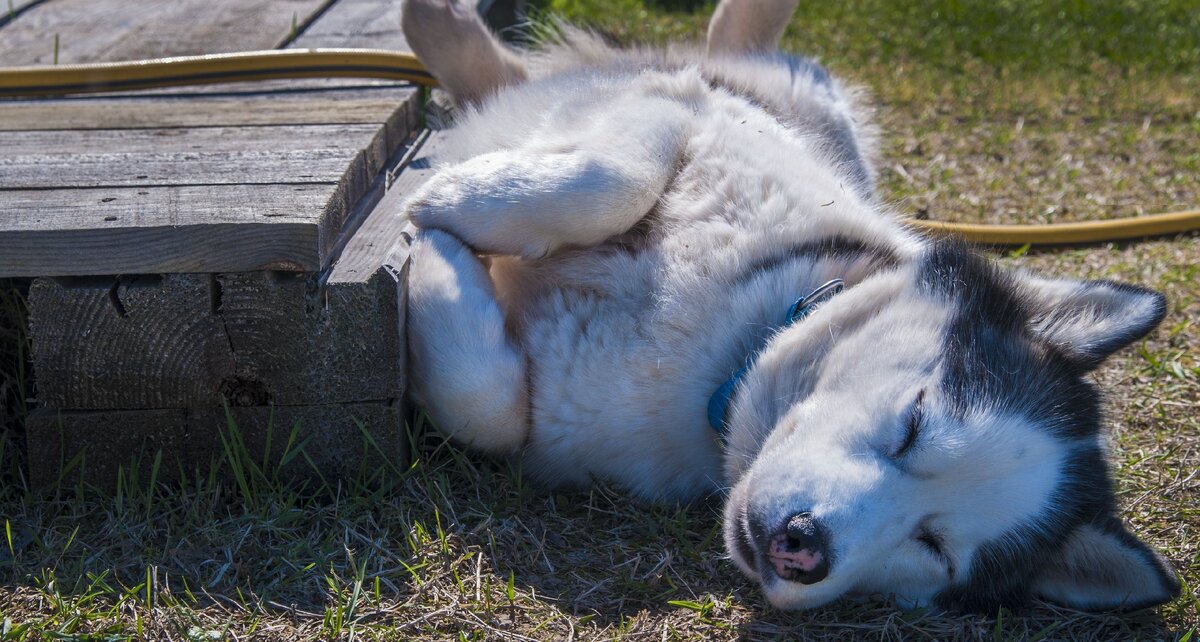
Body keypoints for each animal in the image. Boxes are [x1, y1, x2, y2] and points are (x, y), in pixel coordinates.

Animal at [398, 0, 1176, 612]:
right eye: (914, 423)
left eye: (933, 544)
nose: (805, 547)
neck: (732, 351)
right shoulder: (680, 109)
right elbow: (610, 179)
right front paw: (452, 208)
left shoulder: (553, 432)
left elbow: (490, 410)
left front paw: (437, 258)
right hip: (790, 101)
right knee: (693, 60)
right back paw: (438, 25)